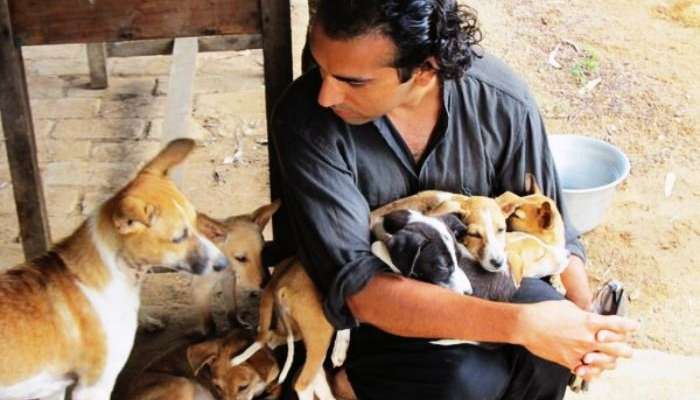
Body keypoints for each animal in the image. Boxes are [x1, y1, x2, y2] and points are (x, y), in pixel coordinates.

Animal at [191, 202, 282, 336]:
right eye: (240, 258)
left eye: (263, 252)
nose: (266, 284)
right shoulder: (200, 288)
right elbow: (210, 326)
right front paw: (212, 337)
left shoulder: (228, 278)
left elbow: (232, 309)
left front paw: (237, 327)